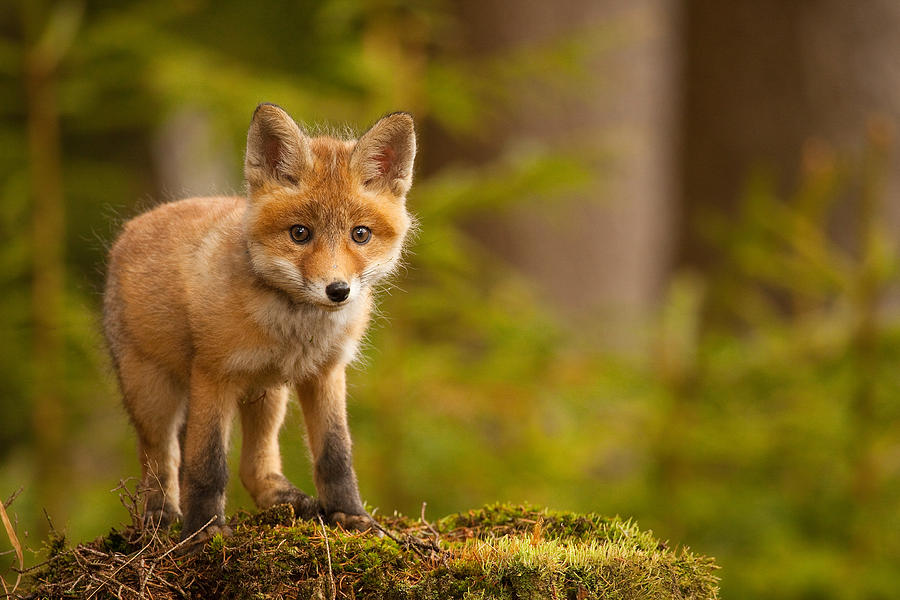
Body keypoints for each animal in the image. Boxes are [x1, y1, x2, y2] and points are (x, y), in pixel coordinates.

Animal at [103, 103, 418, 544]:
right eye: (299, 233)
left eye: (360, 234)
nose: (337, 290)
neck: (297, 330)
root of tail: (130, 229)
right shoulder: (213, 375)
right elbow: (207, 466)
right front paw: (205, 533)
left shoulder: (326, 372)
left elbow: (336, 455)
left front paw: (350, 515)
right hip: (153, 392)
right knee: (160, 459)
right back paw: (160, 517)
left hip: (267, 393)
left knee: (254, 464)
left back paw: (283, 498)